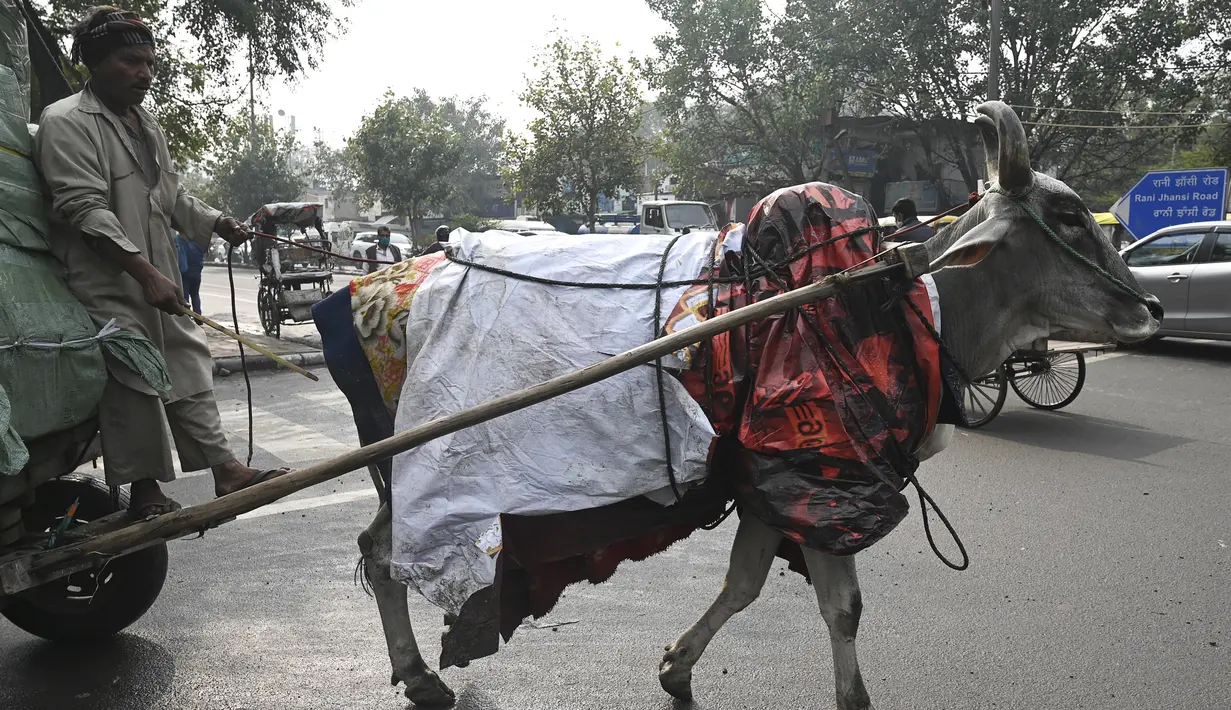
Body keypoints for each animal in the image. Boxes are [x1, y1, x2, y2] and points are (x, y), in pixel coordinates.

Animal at [320, 100, 1162, 708]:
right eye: (1067, 216)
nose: (1148, 306)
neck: (896, 298)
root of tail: (361, 288)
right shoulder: (824, 481)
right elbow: (841, 609)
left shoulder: (769, 486)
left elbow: (745, 584)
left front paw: (674, 666)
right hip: (413, 471)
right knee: (382, 556)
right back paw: (422, 675)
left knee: (375, 552)